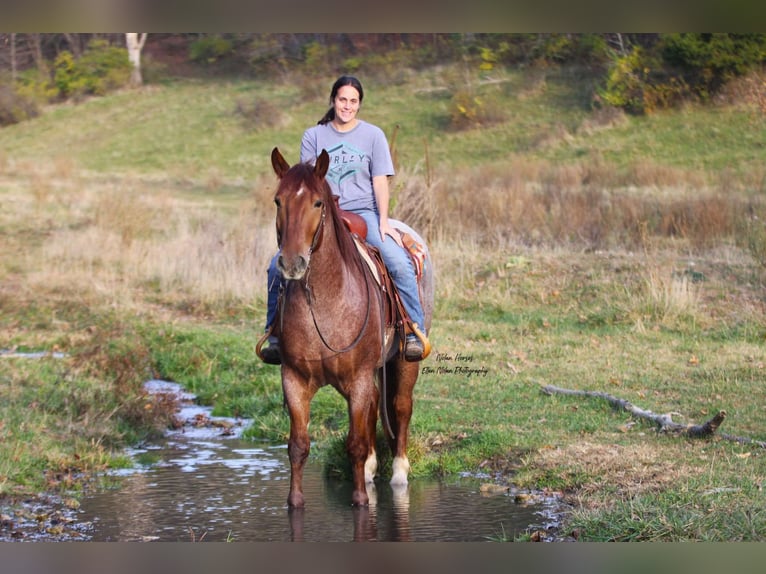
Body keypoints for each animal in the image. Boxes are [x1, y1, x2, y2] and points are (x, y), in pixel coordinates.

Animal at [264, 148, 432, 508]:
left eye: (317, 203)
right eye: (278, 201)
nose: (292, 263)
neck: (325, 303)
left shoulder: (357, 379)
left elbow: (354, 444)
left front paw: (361, 498)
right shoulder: (294, 380)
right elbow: (298, 446)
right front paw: (295, 501)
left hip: (402, 363)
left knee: (400, 406)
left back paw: (398, 473)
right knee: (373, 410)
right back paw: (370, 468)